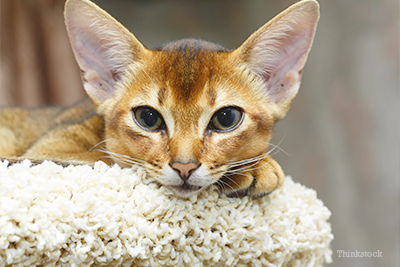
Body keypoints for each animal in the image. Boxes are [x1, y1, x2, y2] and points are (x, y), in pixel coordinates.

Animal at [0, 0, 318, 200]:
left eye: (226, 118)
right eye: (148, 118)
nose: (184, 167)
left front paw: (253, 165)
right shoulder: (51, 151)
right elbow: (105, 160)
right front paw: (255, 167)